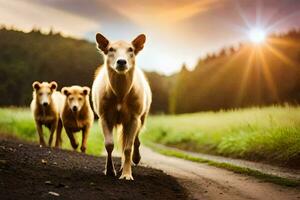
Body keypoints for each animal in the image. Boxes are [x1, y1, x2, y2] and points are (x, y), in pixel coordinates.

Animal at [91, 32, 152, 180]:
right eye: (110, 49)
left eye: (131, 49)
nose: (122, 62)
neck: (120, 94)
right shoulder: (104, 116)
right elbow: (109, 144)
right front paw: (109, 171)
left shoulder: (134, 118)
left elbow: (128, 147)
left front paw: (126, 175)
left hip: (142, 117)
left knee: (135, 141)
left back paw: (135, 159)